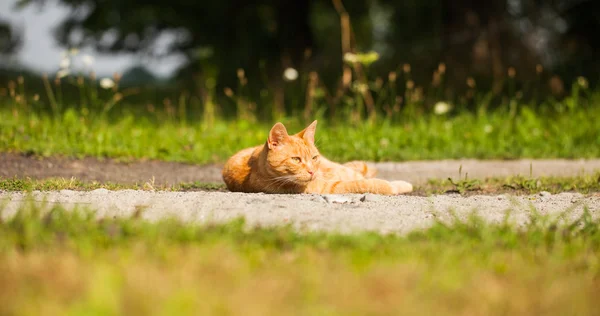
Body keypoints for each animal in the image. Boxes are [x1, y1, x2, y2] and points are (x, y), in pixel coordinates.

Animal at [220, 121, 412, 195]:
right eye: (296, 160)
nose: (312, 171)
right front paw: (394, 186)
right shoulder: (331, 188)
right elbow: (368, 184)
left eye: (314, 158)